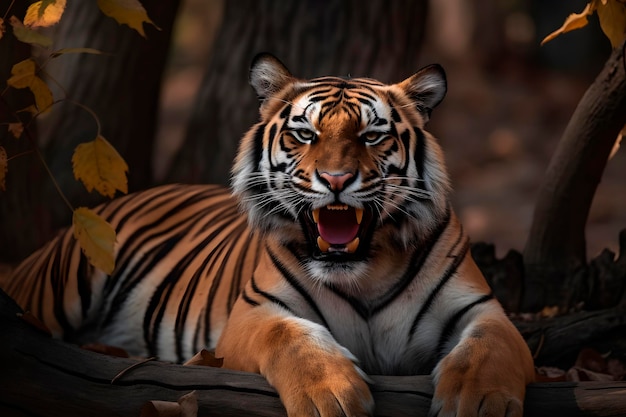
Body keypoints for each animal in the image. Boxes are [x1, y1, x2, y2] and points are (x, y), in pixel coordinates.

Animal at [2, 54, 532, 416]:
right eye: (305, 134)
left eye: (371, 136)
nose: (336, 179)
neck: (365, 272)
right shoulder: (252, 313)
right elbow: (290, 336)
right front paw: (331, 396)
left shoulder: (482, 310)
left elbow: (488, 348)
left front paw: (481, 402)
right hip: (58, 286)